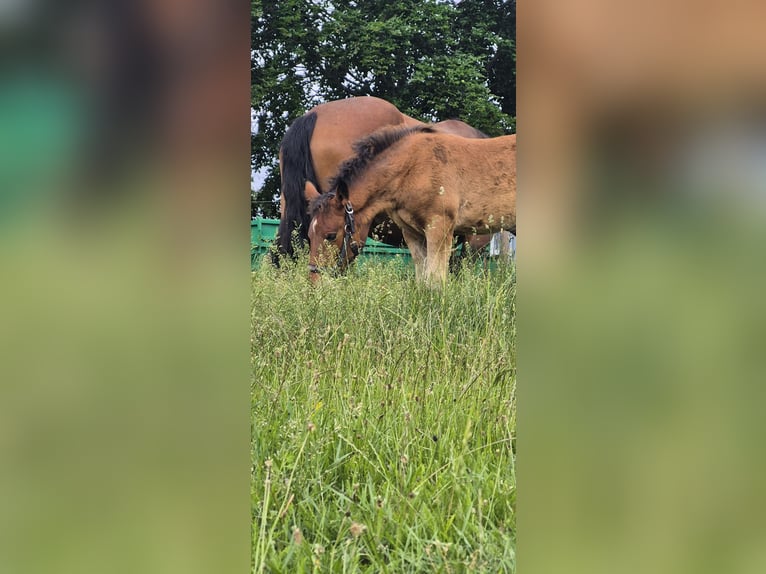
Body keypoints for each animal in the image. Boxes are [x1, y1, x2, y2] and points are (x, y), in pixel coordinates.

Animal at [306, 126, 516, 285]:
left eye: (330, 235)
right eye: (309, 234)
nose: (315, 282)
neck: (413, 167)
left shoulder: (439, 229)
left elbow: (435, 281)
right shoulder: (413, 234)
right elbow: (422, 280)